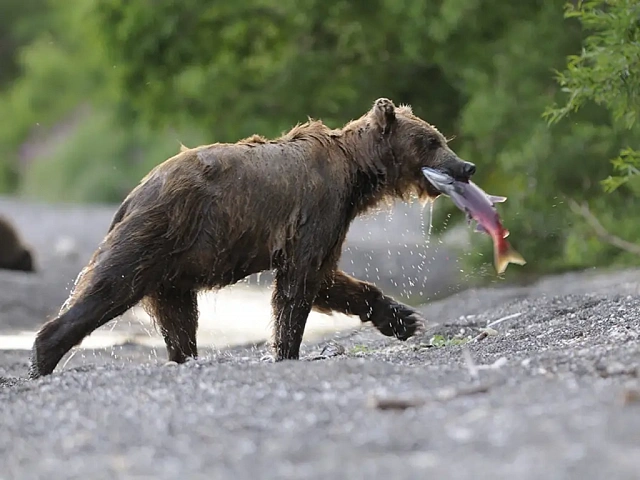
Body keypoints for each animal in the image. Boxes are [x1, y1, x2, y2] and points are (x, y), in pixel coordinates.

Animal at [28, 97, 476, 379]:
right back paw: (43, 356)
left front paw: (402, 318)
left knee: (179, 319)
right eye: (432, 141)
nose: (466, 166)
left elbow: (328, 279)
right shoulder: (317, 208)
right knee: (110, 286)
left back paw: (184, 357)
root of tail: (133, 194)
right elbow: (298, 283)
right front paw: (288, 350)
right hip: (158, 233)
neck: (356, 176)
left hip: (173, 267)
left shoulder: (331, 223)